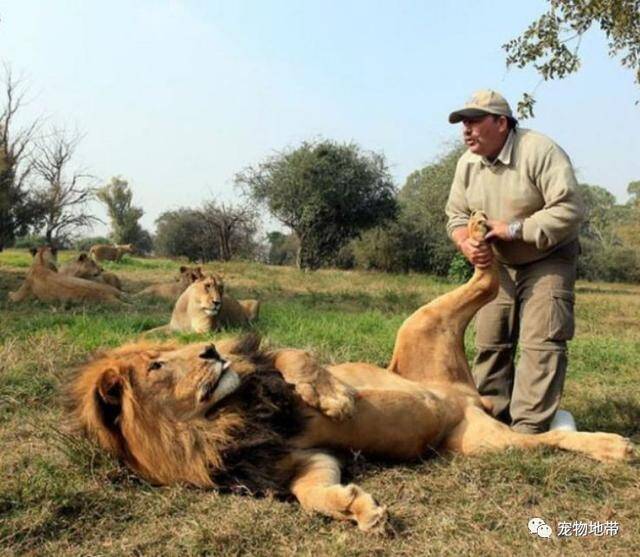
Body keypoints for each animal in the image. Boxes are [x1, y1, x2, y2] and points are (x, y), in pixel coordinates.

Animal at [70, 212, 636, 528]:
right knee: (545, 439)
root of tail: (466, 396)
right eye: (159, 365)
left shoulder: (269, 366)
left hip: (419, 324)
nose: (211, 350)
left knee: (486, 279)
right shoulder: (301, 460)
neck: (217, 422)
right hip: (480, 443)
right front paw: (357, 510)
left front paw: (337, 400)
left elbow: (297, 360)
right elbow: (312, 493)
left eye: (168, 352)